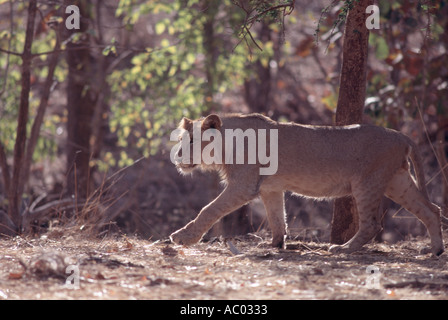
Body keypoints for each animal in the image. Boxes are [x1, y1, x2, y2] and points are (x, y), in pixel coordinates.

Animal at [169, 114, 444, 256]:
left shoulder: (244, 185)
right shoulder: (270, 188)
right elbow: (277, 218)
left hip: (367, 183)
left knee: (372, 224)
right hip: (397, 182)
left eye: (191, 141)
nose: (177, 157)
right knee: (432, 210)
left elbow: (209, 210)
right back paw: (436, 250)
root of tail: (400, 135)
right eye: (182, 139)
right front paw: (276, 245)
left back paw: (343, 248)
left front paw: (183, 237)